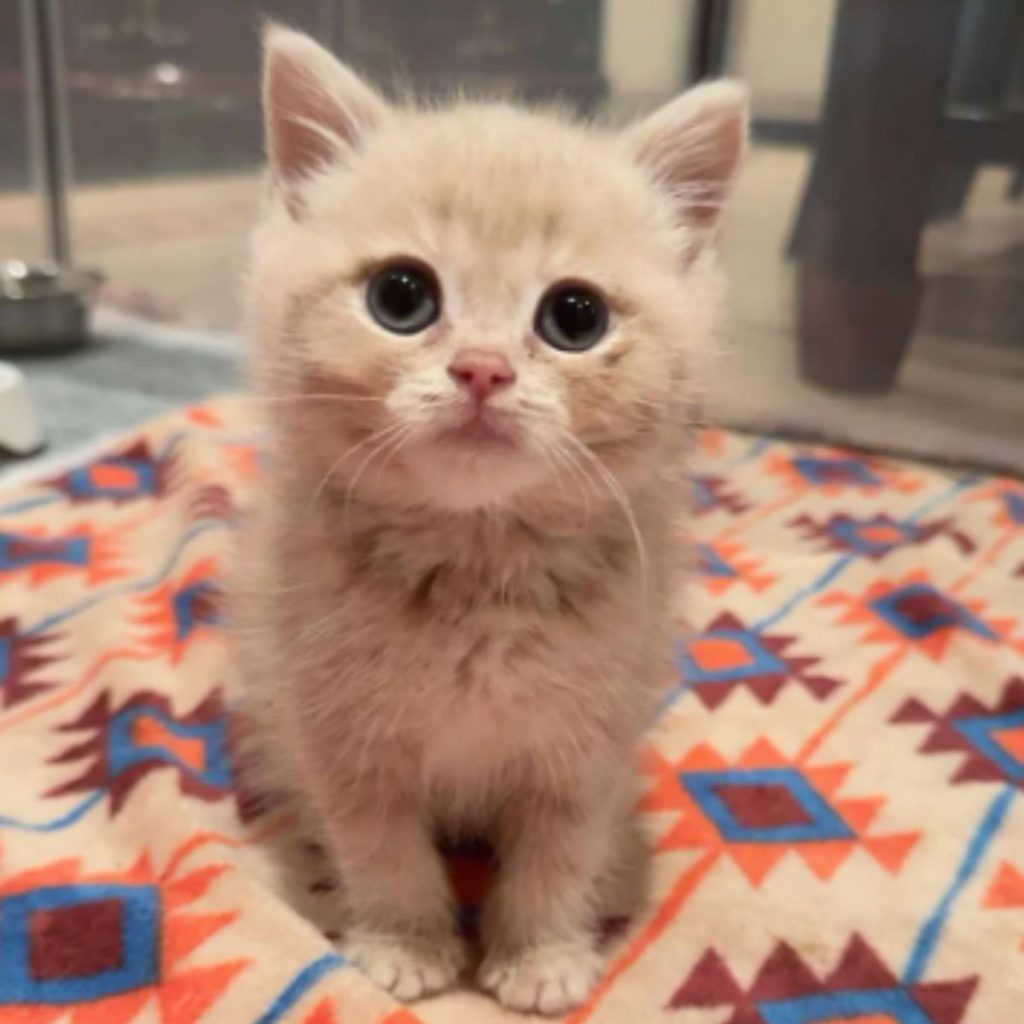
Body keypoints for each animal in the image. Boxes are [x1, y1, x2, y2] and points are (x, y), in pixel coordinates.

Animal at [235, 24, 749, 1015]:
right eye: (401, 296)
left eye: (574, 316)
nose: (481, 369)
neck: (477, 569)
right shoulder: (342, 737)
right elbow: (381, 850)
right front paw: (406, 945)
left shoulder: (586, 747)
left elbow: (557, 855)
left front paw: (540, 956)